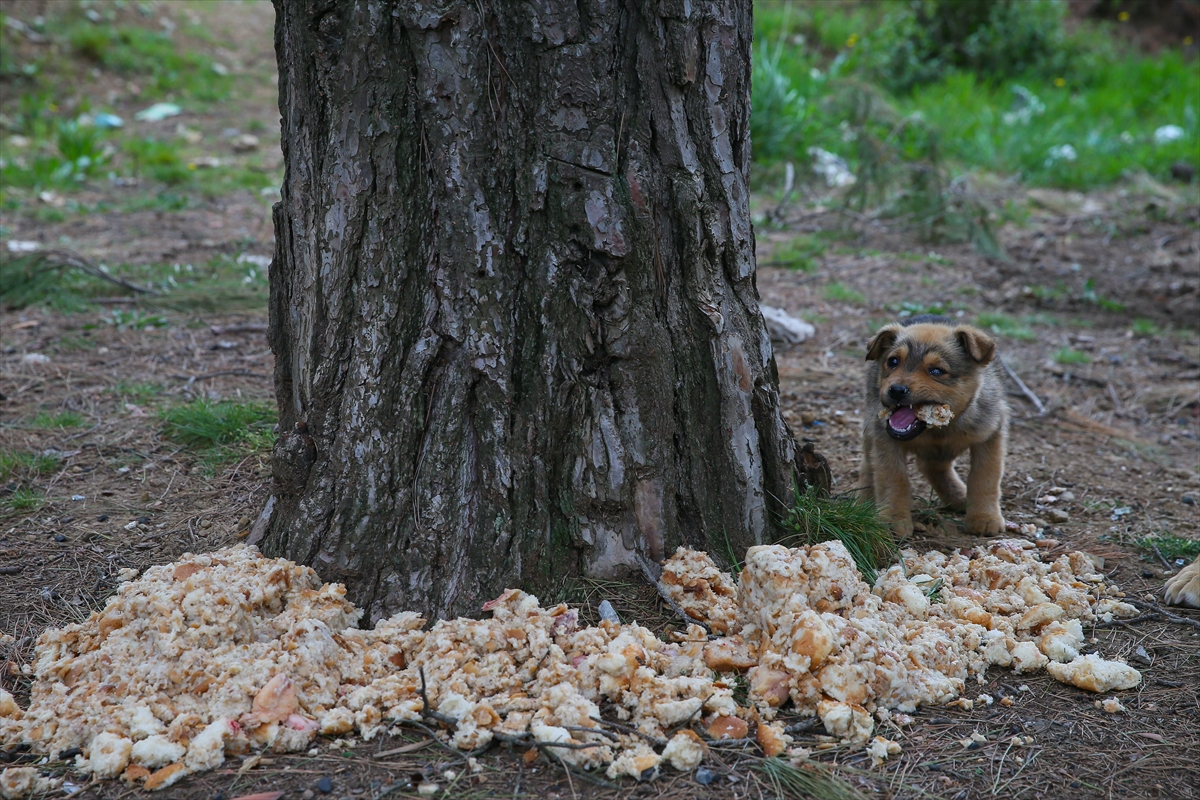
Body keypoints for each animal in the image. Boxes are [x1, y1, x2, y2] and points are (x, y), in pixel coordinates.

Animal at [859, 314, 1008, 537]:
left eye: (937, 371)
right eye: (893, 362)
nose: (896, 390)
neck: (938, 430)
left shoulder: (990, 435)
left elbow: (985, 478)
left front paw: (985, 518)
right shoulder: (885, 439)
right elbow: (893, 478)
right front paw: (893, 519)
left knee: (933, 466)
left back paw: (958, 496)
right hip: (871, 427)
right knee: (869, 466)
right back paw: (864, 503)